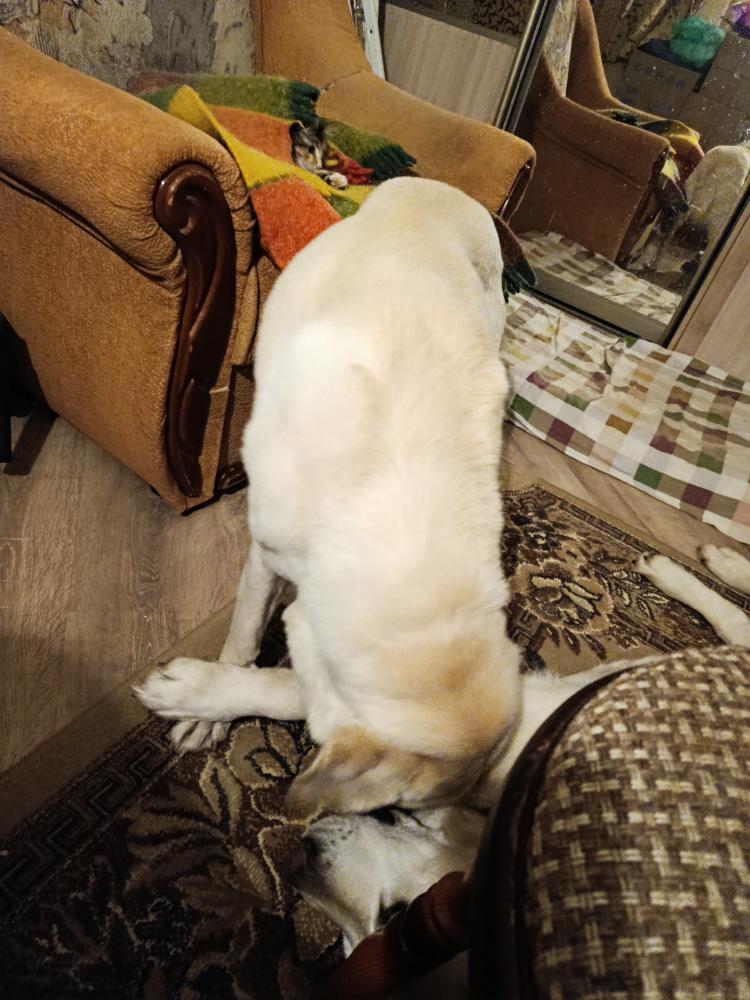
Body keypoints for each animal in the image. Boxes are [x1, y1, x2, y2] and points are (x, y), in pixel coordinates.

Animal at [136, 177, 523, 817]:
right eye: (401, 813)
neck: (403, 539)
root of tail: (436, 187)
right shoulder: (266, 554)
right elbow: (244, 636)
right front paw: (210, 707)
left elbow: (292, 690)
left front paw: (204, 696)